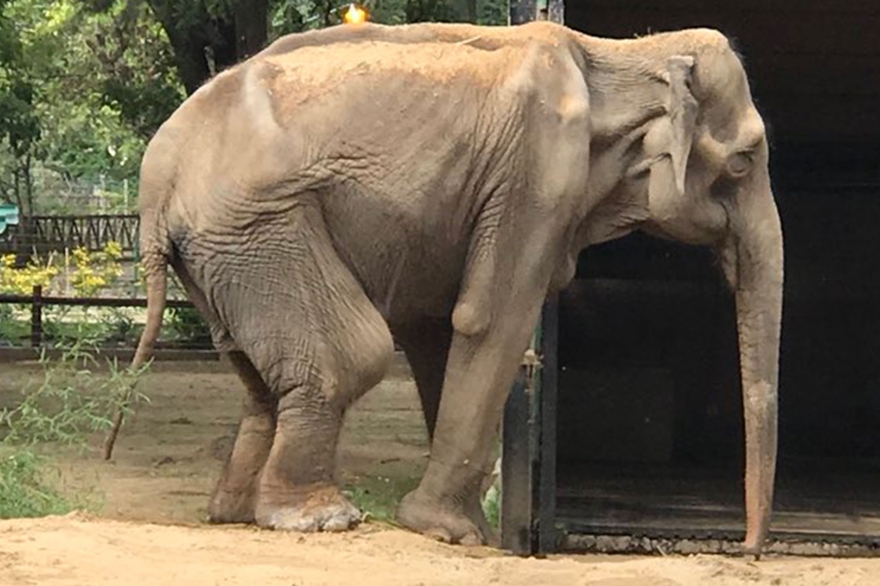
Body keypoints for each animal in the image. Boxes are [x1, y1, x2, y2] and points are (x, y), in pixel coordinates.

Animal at [115, 19, 784, 556]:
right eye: (745, 161)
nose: (748, 550)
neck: (623, 54)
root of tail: (157, 180)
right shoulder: (537, 176)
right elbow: (491, 318)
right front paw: (450, 533)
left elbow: (436, 326)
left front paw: (467, 531)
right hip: (258, 226)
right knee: (354, 355)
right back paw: (320, 519)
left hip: (224, 253)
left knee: (255, 371)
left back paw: (234, 512)